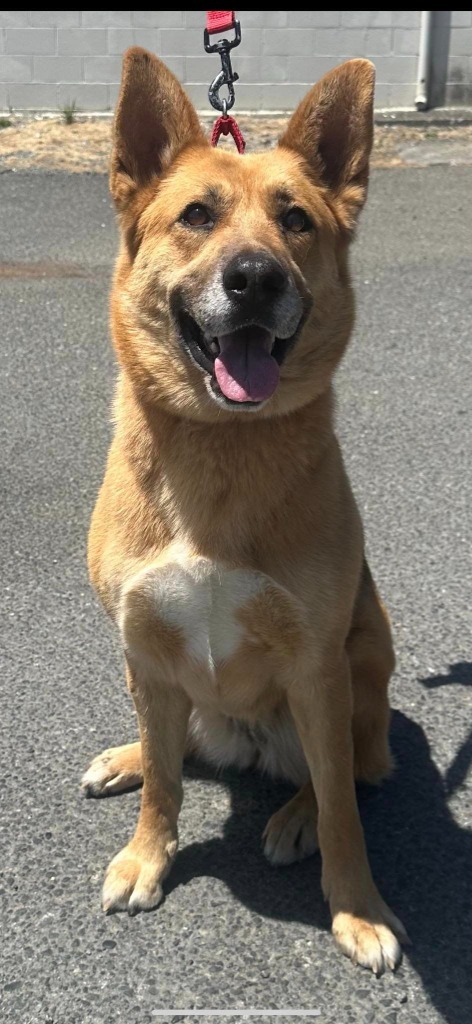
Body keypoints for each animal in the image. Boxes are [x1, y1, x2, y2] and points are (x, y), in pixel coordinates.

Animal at [81, 49, 407, 974]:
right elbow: (164, 783)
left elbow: (343, 809)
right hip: (155, 677)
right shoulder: (144, 649)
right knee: (175, 747)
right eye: (197, 215)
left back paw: (294, 816)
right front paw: (147, 855)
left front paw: (357, 907)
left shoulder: (316, 666)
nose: (256, 278)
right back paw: (127, 755)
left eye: (295, 221)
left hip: (360, 669)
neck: (220, 445)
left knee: (346, 774)